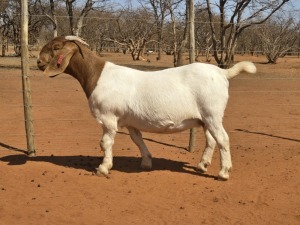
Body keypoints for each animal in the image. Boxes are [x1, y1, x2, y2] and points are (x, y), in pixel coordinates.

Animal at [37, 37, 256, 181]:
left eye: (56, 47)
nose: (38, 62)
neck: (97, 75)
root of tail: (222, 73)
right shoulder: (130, 121)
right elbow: (137, 140)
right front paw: (147, 162)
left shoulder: (108, 117)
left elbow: (105, 143)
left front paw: (103, 168)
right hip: (205, 118)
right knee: (211, 140)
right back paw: (202, 165)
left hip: (212, 113)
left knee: (223, 139)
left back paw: (224, 172)